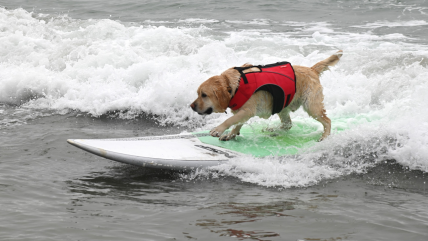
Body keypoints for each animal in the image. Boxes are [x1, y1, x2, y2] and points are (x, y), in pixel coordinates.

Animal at [189, 50, 342, 141]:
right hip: (283, 105)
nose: (191, 106)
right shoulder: (243, 111)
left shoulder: (247, 110)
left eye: (204, 95)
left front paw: (218, 130)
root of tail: (311, 69)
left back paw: (325, 137)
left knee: (327, 121)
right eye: (198, 94)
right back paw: (273, 129)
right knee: (288, 124)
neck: (234, 86)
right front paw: (231, 134)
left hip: (311, 106)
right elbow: (237, 123)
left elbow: (230, 120)